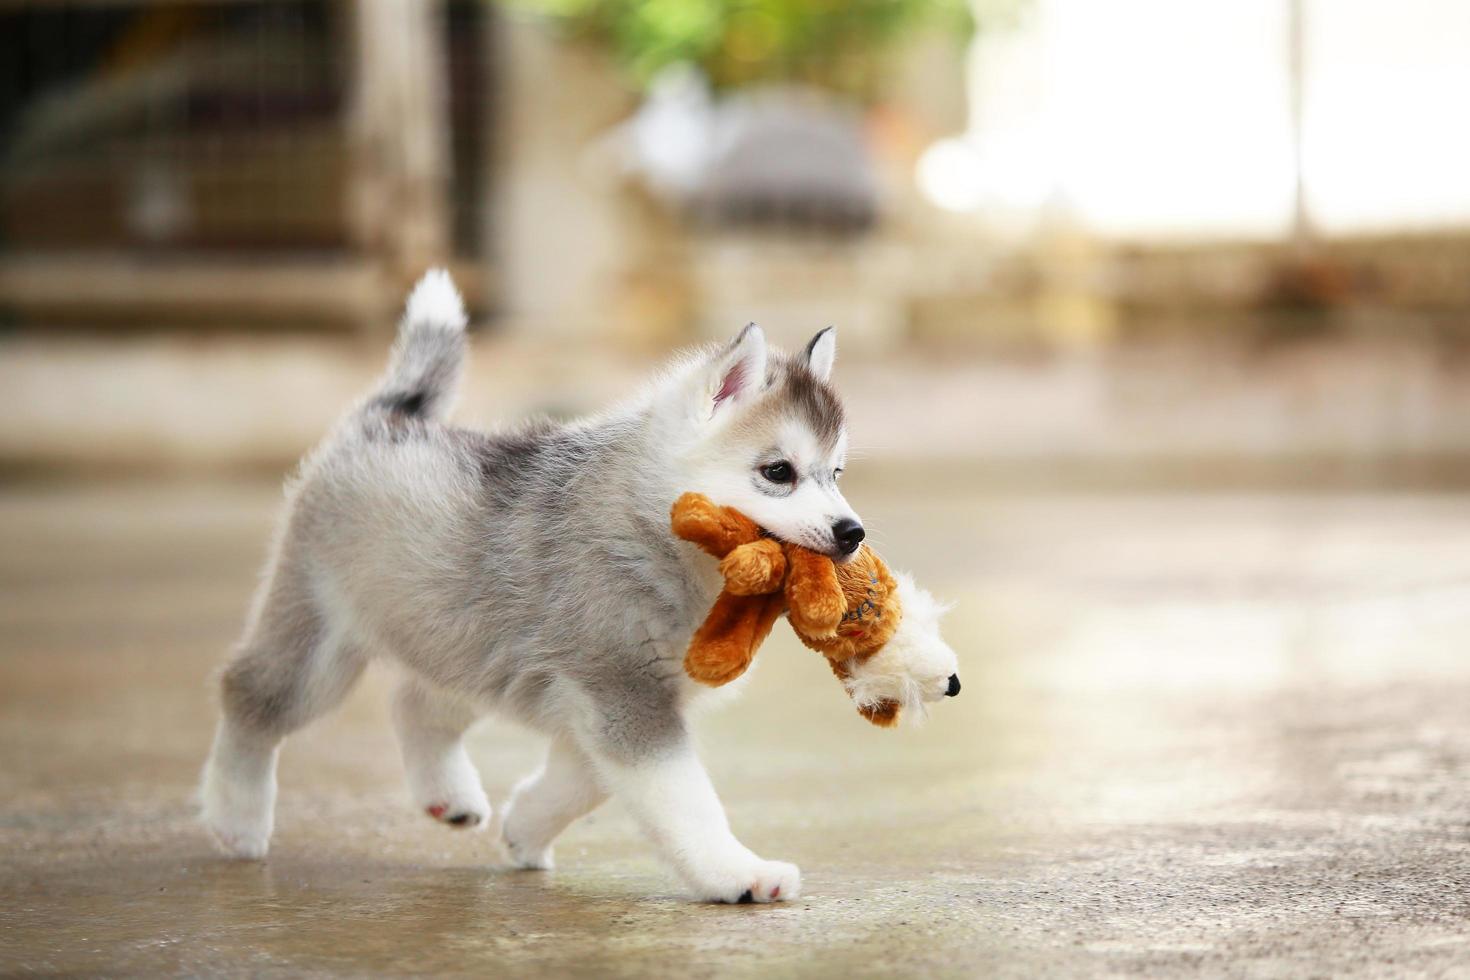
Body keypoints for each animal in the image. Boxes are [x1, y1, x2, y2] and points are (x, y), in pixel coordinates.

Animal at [201, 268, 958, 905]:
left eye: (836, 472)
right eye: (778, 472)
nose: (851, 532)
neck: (656, 528)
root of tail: (385, 421)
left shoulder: (620, 697)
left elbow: (585, 782)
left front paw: (525, 828)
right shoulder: (622, 692)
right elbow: (685, 799)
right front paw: (737, 873)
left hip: (467, 642)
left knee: (418, 702)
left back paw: (449, 795)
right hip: (321, 646)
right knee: (249, 695)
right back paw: (235, 816)